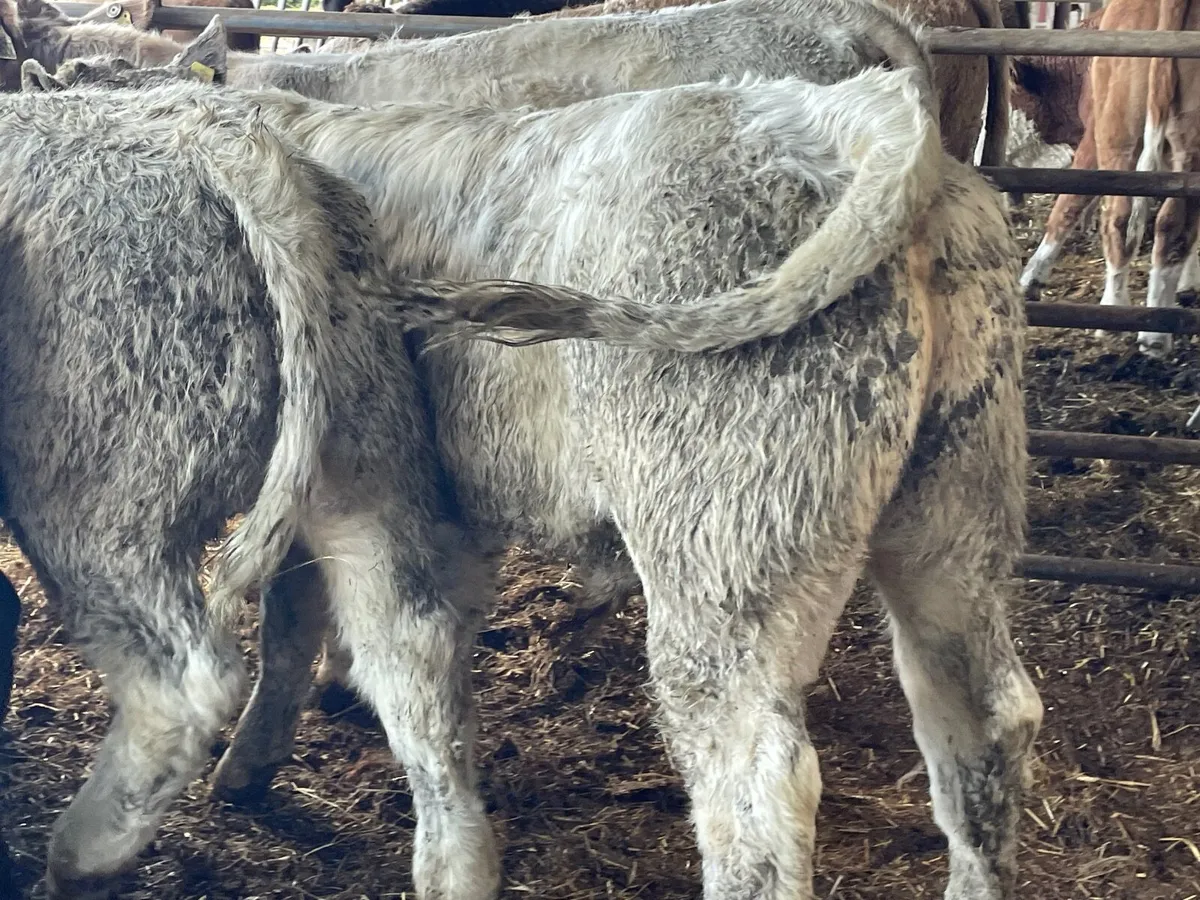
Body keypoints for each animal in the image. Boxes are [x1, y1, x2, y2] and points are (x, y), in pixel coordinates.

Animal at [36, 11, 1044, 899]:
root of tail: (850, 123)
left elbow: (295, 620)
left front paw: (257, 757)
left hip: (725, 555)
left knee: (755, 784)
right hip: (955, 512)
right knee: (985, 720)